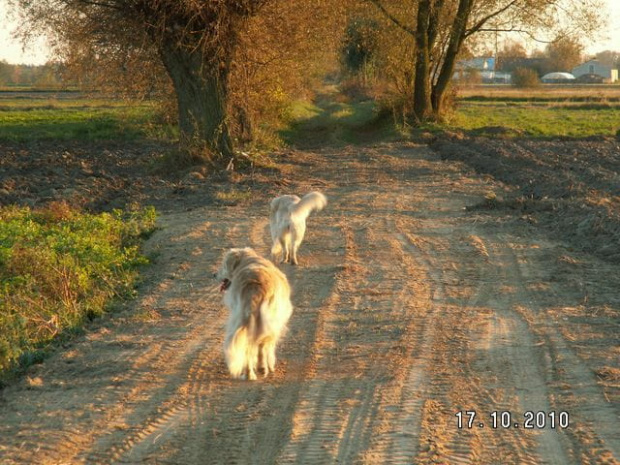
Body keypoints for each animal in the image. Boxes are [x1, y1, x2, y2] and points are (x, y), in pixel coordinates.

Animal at [216, 248, 294, 378]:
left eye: (223, 266)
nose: (214, 275)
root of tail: (254, 286)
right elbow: (268, 346)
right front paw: (270, 365)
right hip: (268, 319)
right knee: (262, 343)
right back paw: (262, 368)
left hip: (243, 318)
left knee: (248, 345)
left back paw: (249, 373)